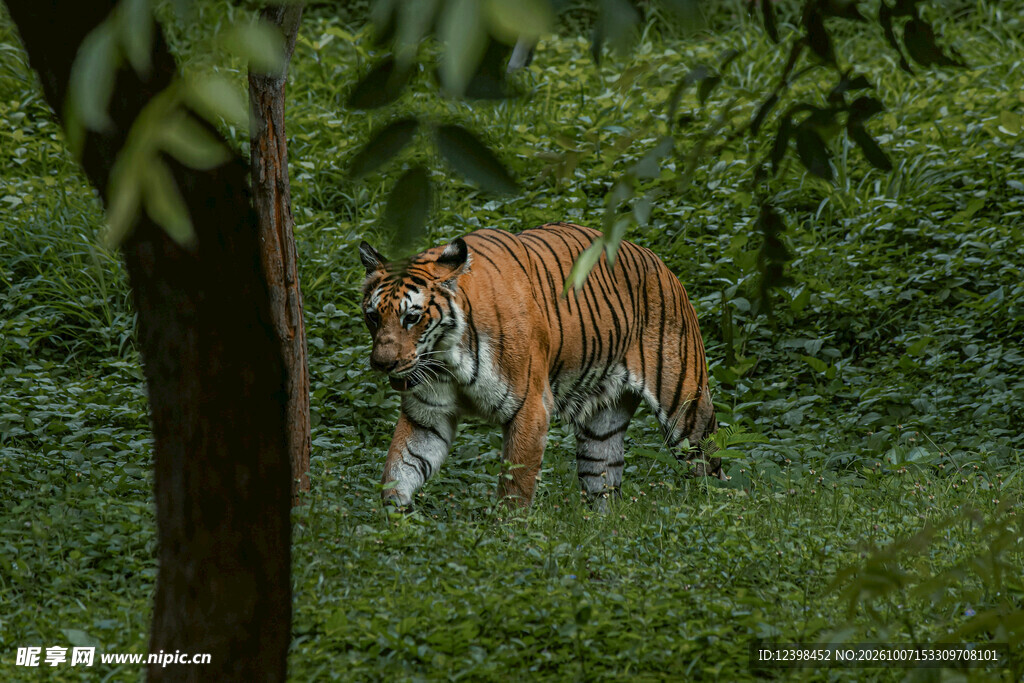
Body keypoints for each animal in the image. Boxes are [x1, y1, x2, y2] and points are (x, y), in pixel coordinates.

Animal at [358, 222, 720, 509]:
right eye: (373, 316)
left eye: (411, 317)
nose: (382, 364)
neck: (446, 358)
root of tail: (657, 260)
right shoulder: (426, 417)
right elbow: (400, 469)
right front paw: (395, 527)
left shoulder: (530, 408)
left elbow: (515, 485)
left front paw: (506, 536)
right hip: (601, 429)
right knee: (604, 484)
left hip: (685, 409)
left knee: (711, 464)